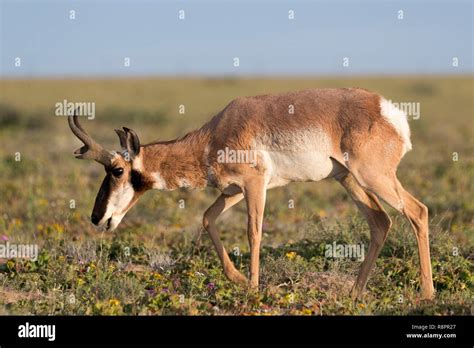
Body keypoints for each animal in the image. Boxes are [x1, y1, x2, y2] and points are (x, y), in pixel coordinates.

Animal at [68, 87, 436, 300]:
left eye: (117, 170)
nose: (97, 217)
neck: (214, 135)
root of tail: (387, 109)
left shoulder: (255, 185)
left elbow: (254, 233)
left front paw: (255, 289)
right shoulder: (234, 191)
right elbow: (207, 218)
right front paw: (238, 280)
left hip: (372, 177)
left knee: (417, 211)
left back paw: (427, 294)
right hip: (348, 179)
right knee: (380, 221)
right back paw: (355, 294)